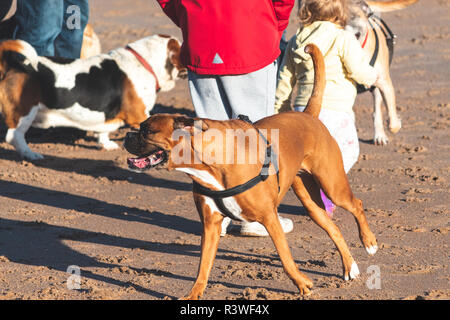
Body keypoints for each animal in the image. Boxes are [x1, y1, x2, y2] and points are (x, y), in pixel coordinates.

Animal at [0, 34, 186, 159]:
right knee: (14, 136)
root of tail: (12, 64)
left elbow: (103, 130)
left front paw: (105, 143)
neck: (145, 63)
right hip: (26, 112)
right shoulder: (140, 115)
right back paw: (30, 154)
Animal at [122, 43, 376, 298]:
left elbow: (285, 257)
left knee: (357, 204)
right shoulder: (210, 227)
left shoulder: (270, 218)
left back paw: (369, 242)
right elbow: (202, 267)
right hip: (311, 202)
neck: (210, 163)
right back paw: (349, 267)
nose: (127, 136)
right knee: (333, 228)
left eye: (148, 131)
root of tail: (307, 115)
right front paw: (194, 294)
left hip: (332, 186)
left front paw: (302, 283)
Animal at [348, 0, 418, 144]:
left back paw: (379, 135)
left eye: (352, 16)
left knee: (377, 111)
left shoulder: (385, 84)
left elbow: (393, 123)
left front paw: (394, 122)